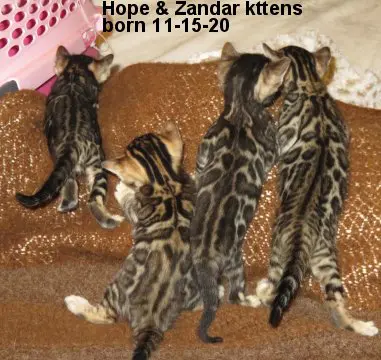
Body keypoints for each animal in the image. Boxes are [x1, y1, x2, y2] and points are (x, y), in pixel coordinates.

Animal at [14, 46, 121, 229]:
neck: (74, 75)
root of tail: (73, 142)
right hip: (97, 161)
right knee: (87, 195)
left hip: (64, 158)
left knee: (76, 187)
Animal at [65, 124, 208, 360]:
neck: (165, 179)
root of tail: (152, 320)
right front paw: (197, 174)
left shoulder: (138, 212)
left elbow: (130, 204)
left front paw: (122, 189)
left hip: (118, 288)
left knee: (106, 315)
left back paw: (74, 302)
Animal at [191, 43, 290, 344]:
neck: (239, 109)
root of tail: (206, 258)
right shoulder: (272, 145)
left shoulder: (206, 143)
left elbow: (199, 167)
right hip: (236, 261)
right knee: (234, 294)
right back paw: (250, 300)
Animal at [255, 43, 378, 336]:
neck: (310, 85)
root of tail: (304, 232)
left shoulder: (279, 140)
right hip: (327, 260)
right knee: (335, 300)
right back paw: (362, 327)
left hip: (278, 252)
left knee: (273, 288)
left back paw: (259, 292)